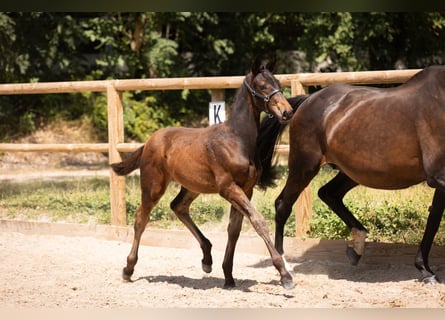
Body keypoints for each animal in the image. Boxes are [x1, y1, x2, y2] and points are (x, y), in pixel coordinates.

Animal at [110, 57, 294, 290]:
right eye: (263, 86)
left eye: (278, 83)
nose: (287, 111)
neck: (237, 140)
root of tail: (150, 141)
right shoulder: (229, 188)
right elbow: (258, 221)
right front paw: (285, 275)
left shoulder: (246, 189)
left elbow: (234, 230)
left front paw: (228, 277)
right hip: (153, 186)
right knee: (141, 218)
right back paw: (128, 269)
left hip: (192, 186)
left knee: (178, 206)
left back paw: (207, 257)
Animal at [258, 65, 445, 284]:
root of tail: (307, 101)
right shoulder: (437, 176)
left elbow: (433, 220)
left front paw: (426, 270)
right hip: (304, 166)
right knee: (283, 204)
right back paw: (285, 268)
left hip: (354, 172)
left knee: (328, 193)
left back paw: (356, 248)